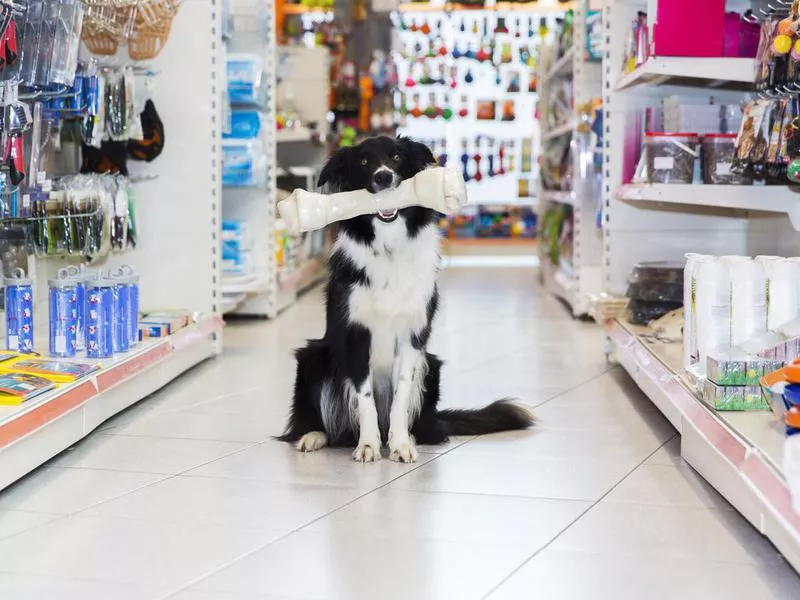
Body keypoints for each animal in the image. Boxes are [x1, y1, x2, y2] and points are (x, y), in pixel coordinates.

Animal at [278, 137, 536, 464]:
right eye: (364, 162)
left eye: (397, 157)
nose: (383, 177)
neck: (388, 246)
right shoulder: (355, 335)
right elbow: (365, 399)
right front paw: (368, 445)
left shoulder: (413, 337)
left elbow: (400, 396)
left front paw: (400, 443)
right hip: (314, 356)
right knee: (326, 423)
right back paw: (314, 436)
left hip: (432, 366)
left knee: (426, 427)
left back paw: (409, 435)